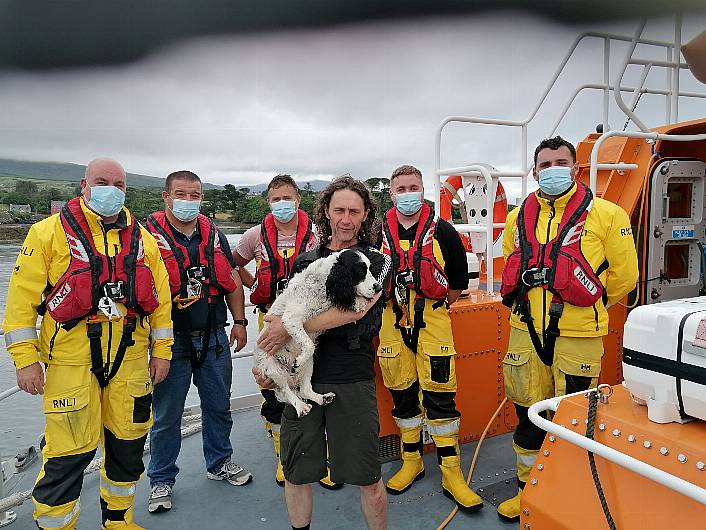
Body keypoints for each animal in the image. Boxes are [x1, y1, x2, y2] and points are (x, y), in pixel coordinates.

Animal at [254, 248, 384, 416]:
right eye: (360, 271)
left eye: (369, 269)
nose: (379, 288)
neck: (322, 282)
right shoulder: (291, 319)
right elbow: (309, 345)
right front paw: (298, 362)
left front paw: (359, 302)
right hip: (273, 369)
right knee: (286, 391)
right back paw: (300, 406)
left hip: (310, 365)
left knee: (305, 390)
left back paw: (323, 398)